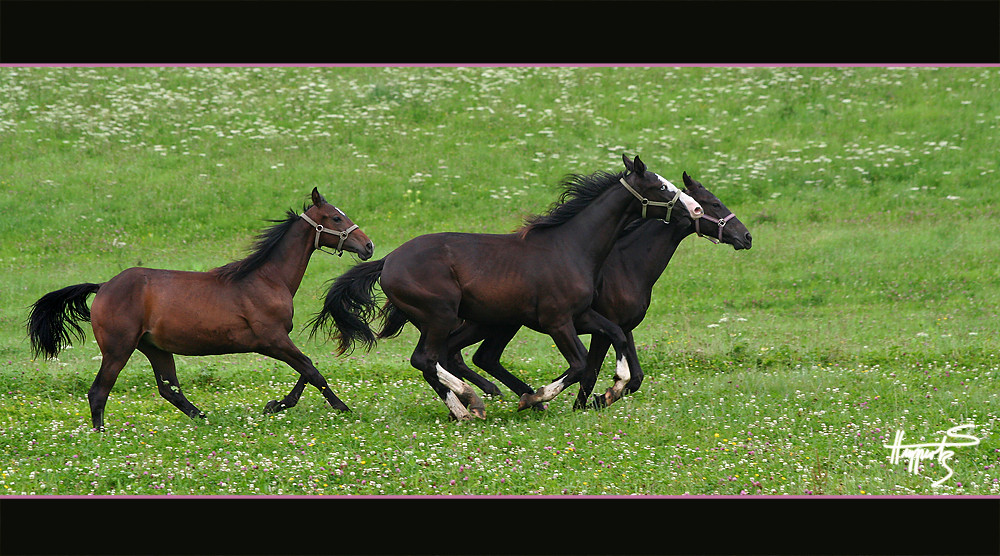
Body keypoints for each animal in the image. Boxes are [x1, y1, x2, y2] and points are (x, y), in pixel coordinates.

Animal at [27, 188, 374, 430]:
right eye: (336, 218)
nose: (368, 246)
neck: (266, 278)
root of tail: (103, 287)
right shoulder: (272, 339)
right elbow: (312, 370)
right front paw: (341, 408)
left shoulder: (277, 342)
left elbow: (306, 370)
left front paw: (275, 404)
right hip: (118, 349)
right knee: (99, 391)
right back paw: (102, 434)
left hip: (155, 348)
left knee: (169, 389)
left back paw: (203, 417)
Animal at [310, 154, 704, 420]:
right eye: (660, 186)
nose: (698, 209)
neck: (572, 246)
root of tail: (388, 261)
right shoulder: (558, 321)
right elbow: (579, 364)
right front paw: (535, 397)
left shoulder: (583, 315)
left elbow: (617, 337)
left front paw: (614, 387)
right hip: (441, 315)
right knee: (426, 358)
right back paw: (470, 402)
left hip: (455, 321)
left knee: (436, 359)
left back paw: (466, 404)